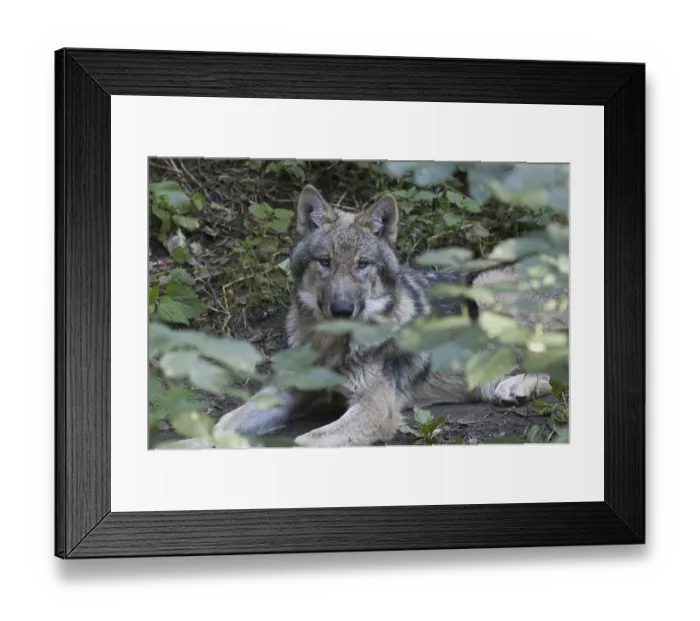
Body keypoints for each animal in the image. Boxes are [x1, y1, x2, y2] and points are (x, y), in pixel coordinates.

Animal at [214, 184, 568, 447]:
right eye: (325, 262)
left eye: (362, 264)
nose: (342, 310)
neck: (331, 346)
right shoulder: (287, 391)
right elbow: (221, 425)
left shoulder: (376, 408)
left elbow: (303, 441)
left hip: (485, 287)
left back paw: (515, 387)